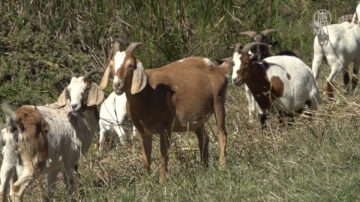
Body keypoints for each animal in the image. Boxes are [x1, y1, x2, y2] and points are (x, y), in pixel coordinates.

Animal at [0, 72, 104, 202]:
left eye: (86, 89)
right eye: (69, 91)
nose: (74, 106)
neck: (77, 121)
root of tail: (16, 123)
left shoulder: (54, 167)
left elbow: (49, 192)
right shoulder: (69, 161)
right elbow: (69, 184)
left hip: (8, 160)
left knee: (2, 189)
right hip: (33, 163)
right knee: (16, 190)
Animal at [98, 41, 228, 184]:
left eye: (130, 65)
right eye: (111, 65)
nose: (117, 85)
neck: (148, 93)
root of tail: (216, 68)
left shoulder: (166, 126)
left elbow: (163, 153)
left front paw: (162, 182)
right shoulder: (144, 131)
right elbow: (146, 158)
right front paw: (146, 183)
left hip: (218, 101)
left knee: (222, 134)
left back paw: (222, 166)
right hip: (197, 120)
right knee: (204, 138)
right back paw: (204, 168)